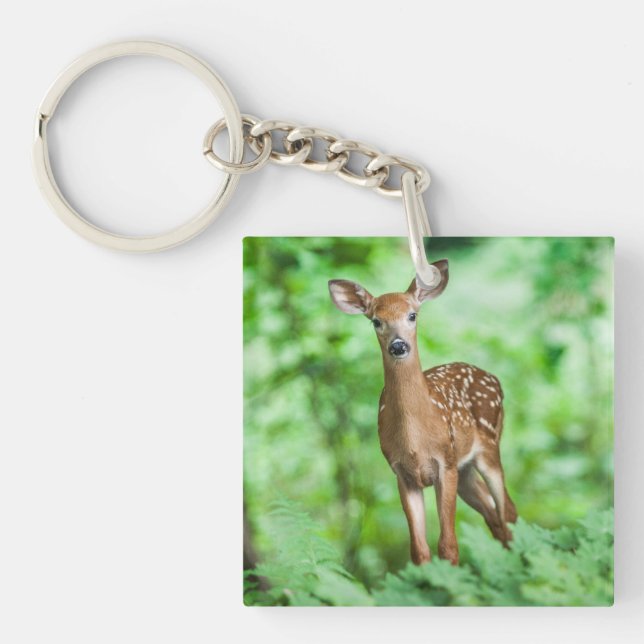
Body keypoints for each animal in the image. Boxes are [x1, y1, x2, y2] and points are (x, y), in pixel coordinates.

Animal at [328, 259, 517, 566]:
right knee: (494, 516)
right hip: (465, 470)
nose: (398, 345)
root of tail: (494, 378)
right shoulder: (402, 473)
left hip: (488, 446)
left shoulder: (445, 463)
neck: (415, 439)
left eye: (412, 315)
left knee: (508, 511)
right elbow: (419, 550)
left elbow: (448, 546)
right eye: (376, 321)